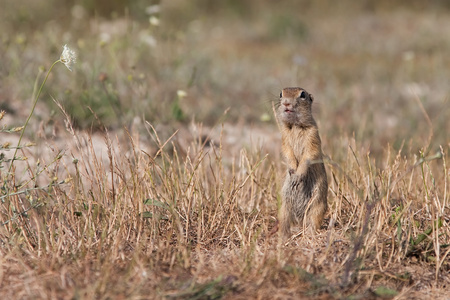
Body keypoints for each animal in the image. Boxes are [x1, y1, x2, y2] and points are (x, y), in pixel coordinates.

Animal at [276, 87, 326, 239]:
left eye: (302, 94)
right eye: (281, 94)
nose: (286, 103)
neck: (295, 126)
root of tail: (298, 222)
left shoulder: (313, 135)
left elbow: (310, 155)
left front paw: (298, 176)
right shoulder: (284, 137)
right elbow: (287, 152)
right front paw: (292, 170)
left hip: (317, 207)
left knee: (313, 221)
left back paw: (310, 234)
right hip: (283, 209)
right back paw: (284, 237)